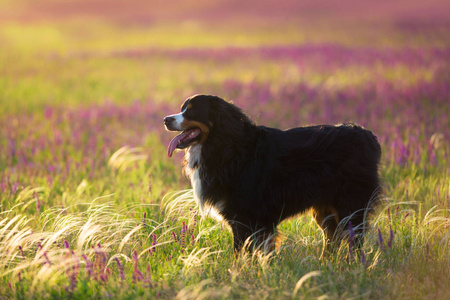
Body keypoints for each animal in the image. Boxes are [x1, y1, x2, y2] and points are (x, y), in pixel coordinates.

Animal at [163, 94, 382, 255]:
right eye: (182, 108)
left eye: (192, 110)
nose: (166, 119)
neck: (225, 146)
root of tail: (367, 135)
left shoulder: (246, 217)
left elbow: (242, 254)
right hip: (325, 210)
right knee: (332, 239)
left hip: (351, 205)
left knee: (354, 240)